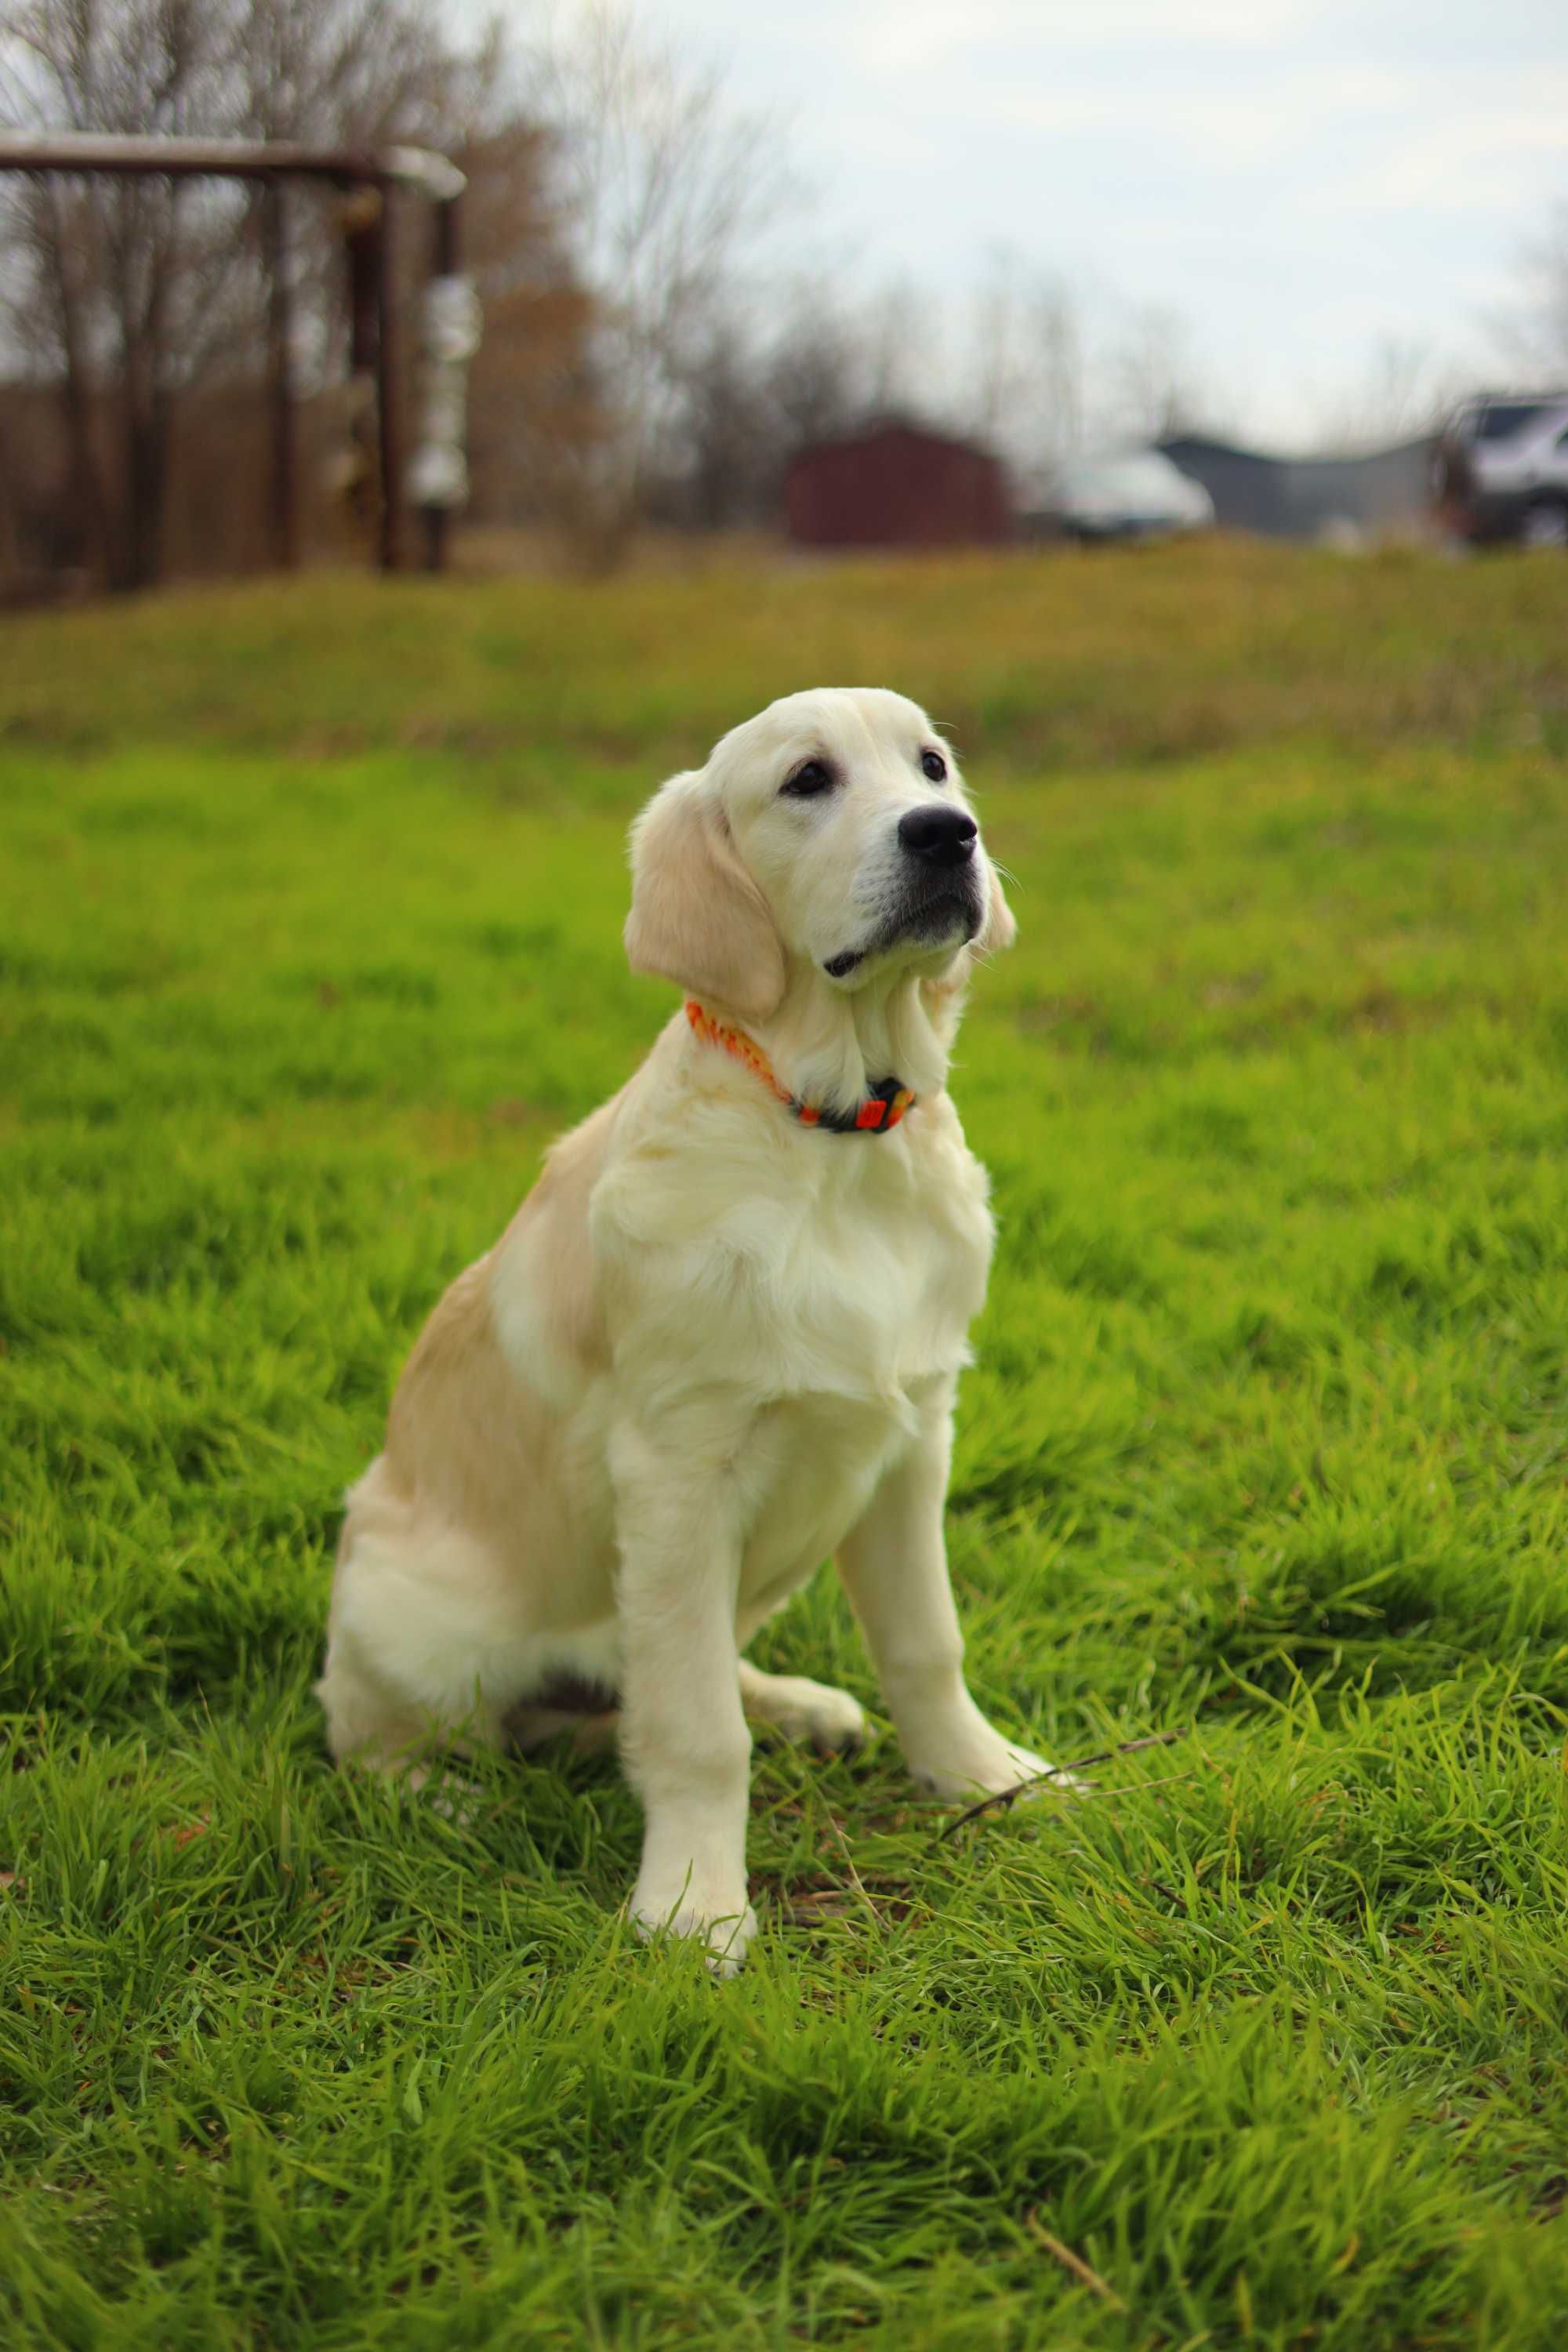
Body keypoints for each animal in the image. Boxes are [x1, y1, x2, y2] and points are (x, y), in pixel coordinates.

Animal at [314, 682, 1053, 1966]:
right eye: (807, 780)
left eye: (933, 766)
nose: (946, 835)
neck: (831, 1135)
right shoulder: (676, 1470)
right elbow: (697, 1730)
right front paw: (694, 1906)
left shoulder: (914, 1435)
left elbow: (926, 1642)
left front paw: (981, 1778)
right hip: (409, 1616)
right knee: (370, 1731)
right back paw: (445, 1805)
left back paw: (801, 1705)